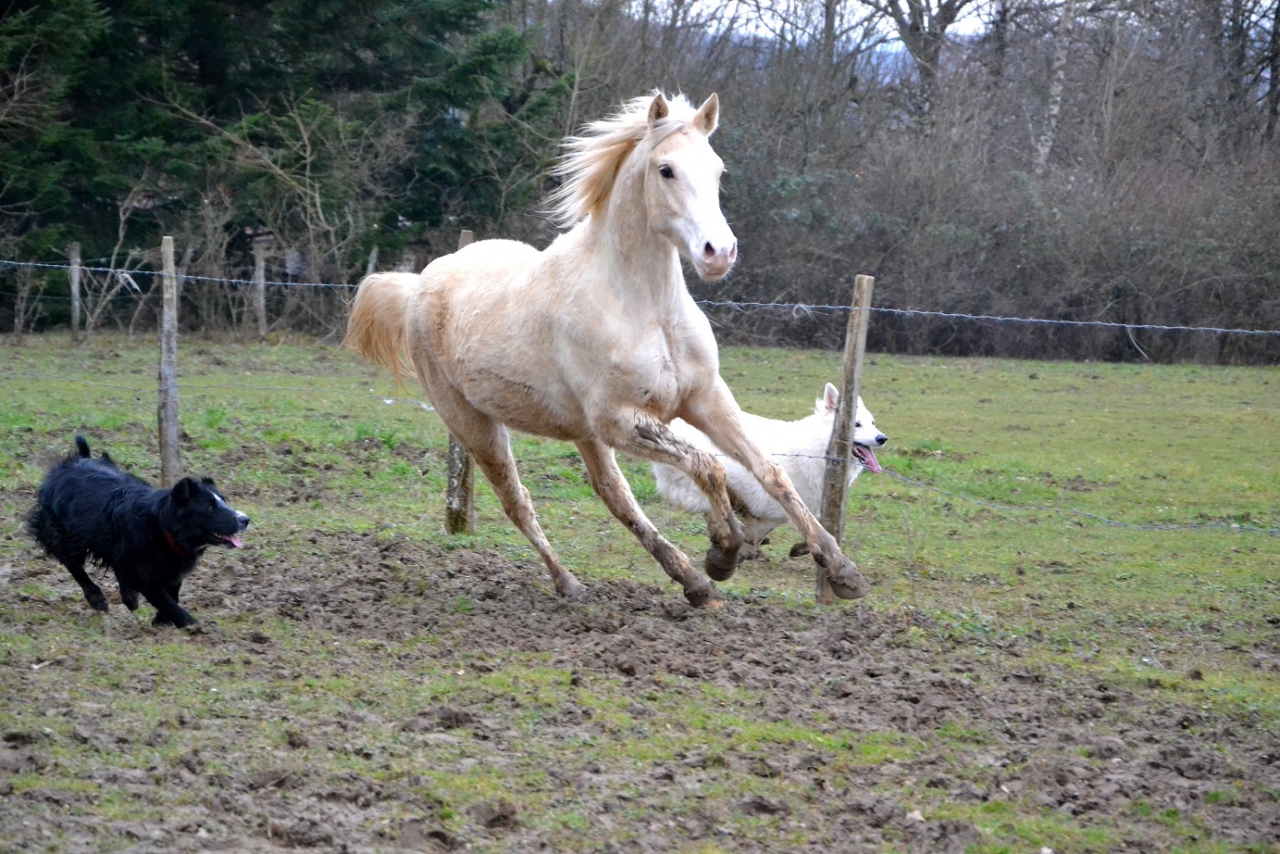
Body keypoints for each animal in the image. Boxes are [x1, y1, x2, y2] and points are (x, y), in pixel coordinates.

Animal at [28, 436, 250, 627]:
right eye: (210, 508)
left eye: (224, 501)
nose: (245, 520)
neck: (164, 528)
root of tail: (72, 462)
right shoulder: (146, 572)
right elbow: (164, 599)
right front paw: (192, 625)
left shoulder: (171, 565)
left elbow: (172, 591)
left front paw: (161, 620)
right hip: (63, 531)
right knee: (70, 561)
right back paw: (97, 598)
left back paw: (129, 598)